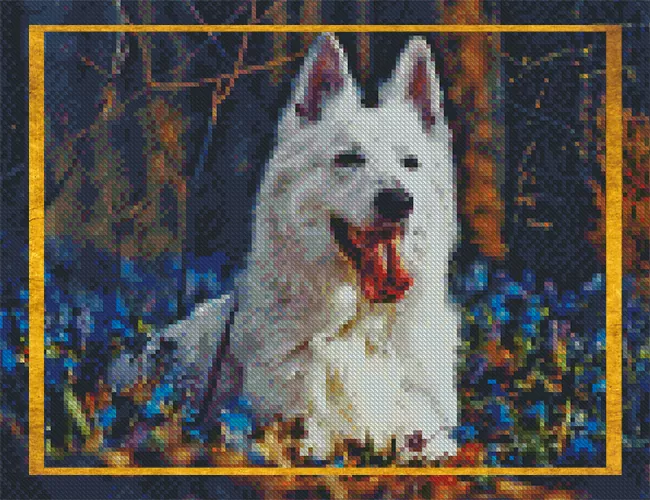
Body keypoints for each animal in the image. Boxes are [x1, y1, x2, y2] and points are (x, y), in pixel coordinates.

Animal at [110, 34, 460, 461]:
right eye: (348, 158)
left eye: (410, 162)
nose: (399, 201)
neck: (358, 326)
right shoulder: (294, 433)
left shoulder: (428, 436)